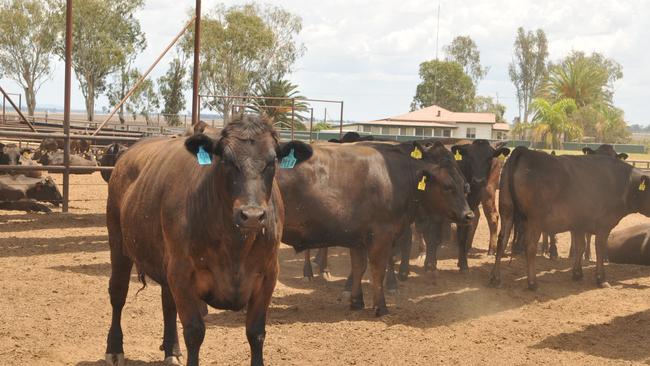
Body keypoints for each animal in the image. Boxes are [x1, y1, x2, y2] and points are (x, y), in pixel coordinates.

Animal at [104, 115, 312, 366]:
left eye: (272, 161)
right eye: (226, 160)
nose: (252, 215)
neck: (235, 246)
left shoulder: (268, 274)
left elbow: (256, 332)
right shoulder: (182, 273)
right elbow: (194, 332)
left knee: (167, 303)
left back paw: (171, 350)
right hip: (118, 244)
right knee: (118, 293)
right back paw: (114, 349)